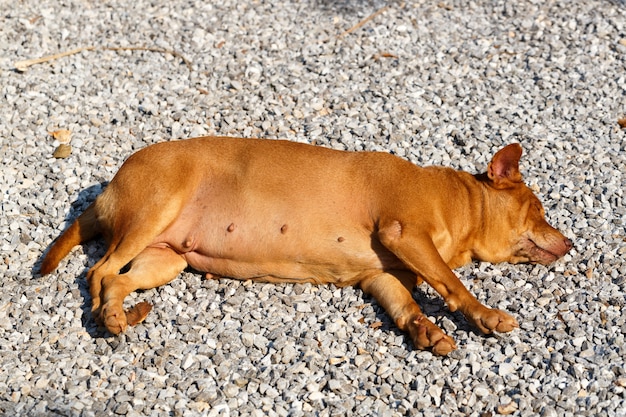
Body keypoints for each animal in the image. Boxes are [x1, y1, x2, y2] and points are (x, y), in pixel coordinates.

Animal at [39, 137, 568, 354]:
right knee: (98, 272)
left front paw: (425, 330)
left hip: (165, 260)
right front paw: (485, 316)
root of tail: (108, 188)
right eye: (539, 209)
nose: (569, 241)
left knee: (114, 278)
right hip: (154, 211)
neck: (456, 201)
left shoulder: (383, 277)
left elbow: (408, 306)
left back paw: (122, 314)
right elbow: (453, 283)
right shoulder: (406, 234)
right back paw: (108, 317)